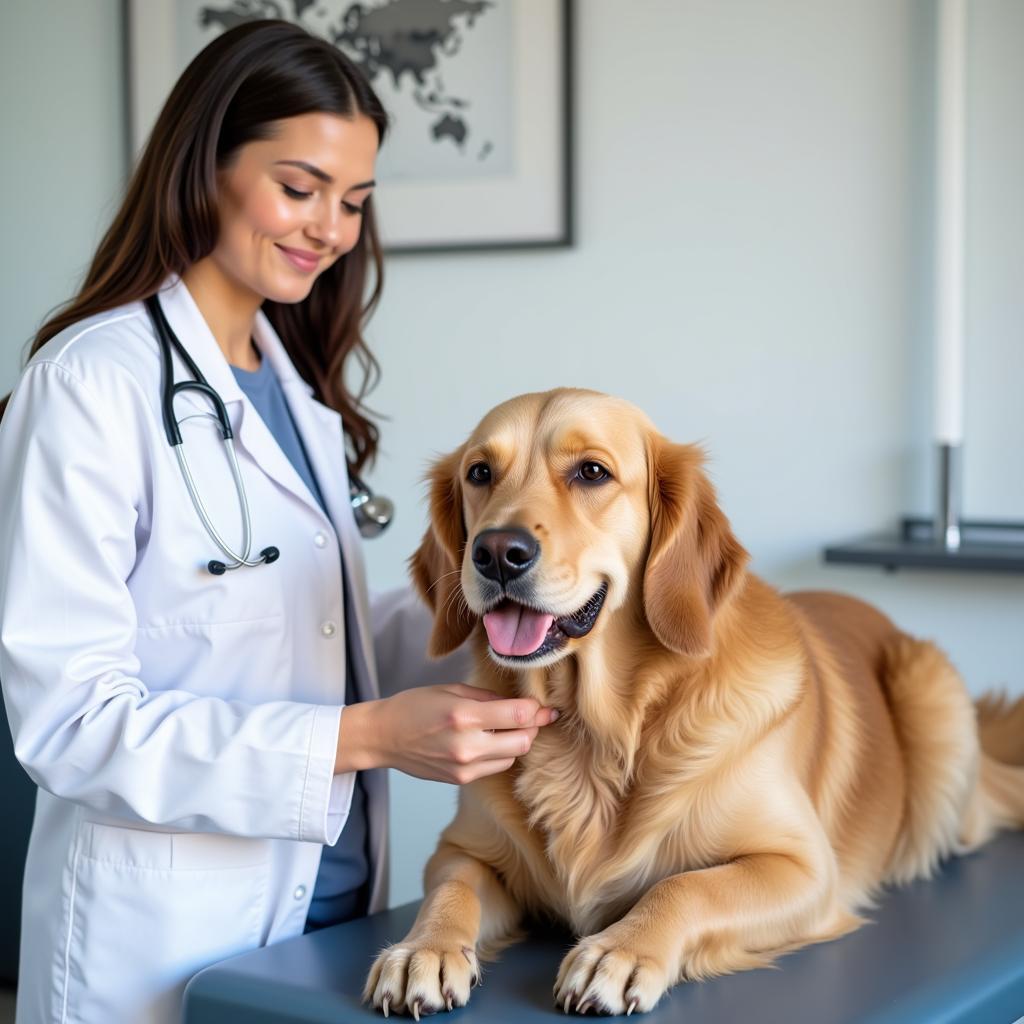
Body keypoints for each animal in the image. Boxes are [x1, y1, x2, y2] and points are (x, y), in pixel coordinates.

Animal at [364, 389, 1019, 1015]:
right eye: (479, 473)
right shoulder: (460, 850)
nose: (497, 551)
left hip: (928, 689)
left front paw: (618, 953)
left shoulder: (805, 869)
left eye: (592, 472)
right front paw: (422, 950)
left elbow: (686, 886)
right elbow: (450, 889)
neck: (594, 730)